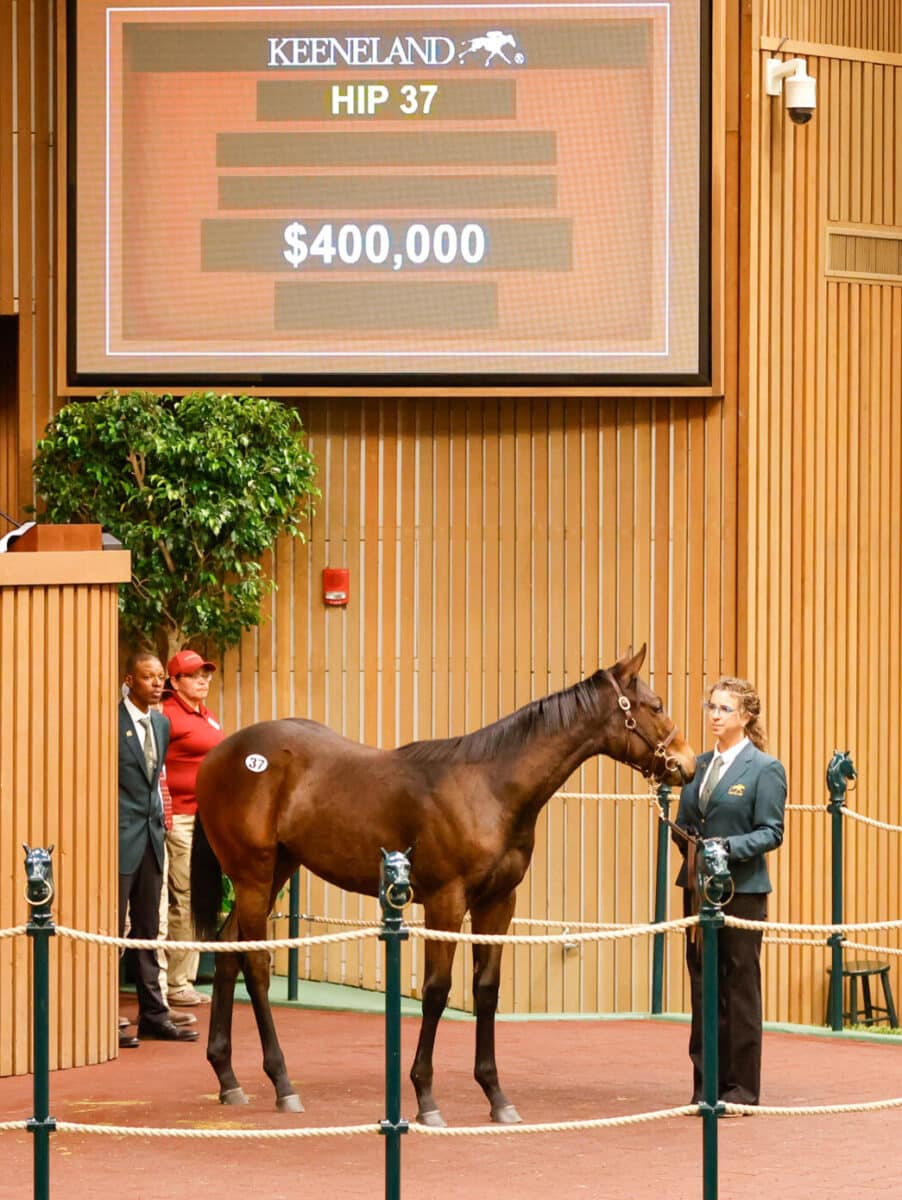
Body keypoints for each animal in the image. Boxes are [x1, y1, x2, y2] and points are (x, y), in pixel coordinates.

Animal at [190, 648, 695, 1123]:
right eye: (656, 705)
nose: (687, 763)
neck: (491, 787)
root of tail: (220, 754)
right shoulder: (445, 902)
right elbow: (437, 990)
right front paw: (425, 1096)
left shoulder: (498, 903)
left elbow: (486, 990)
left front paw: (496, 1095)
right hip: (254, 874)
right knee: (255, 963)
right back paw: (282, 1082)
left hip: (274, 870)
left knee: (227, 949)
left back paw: (228, 1076)